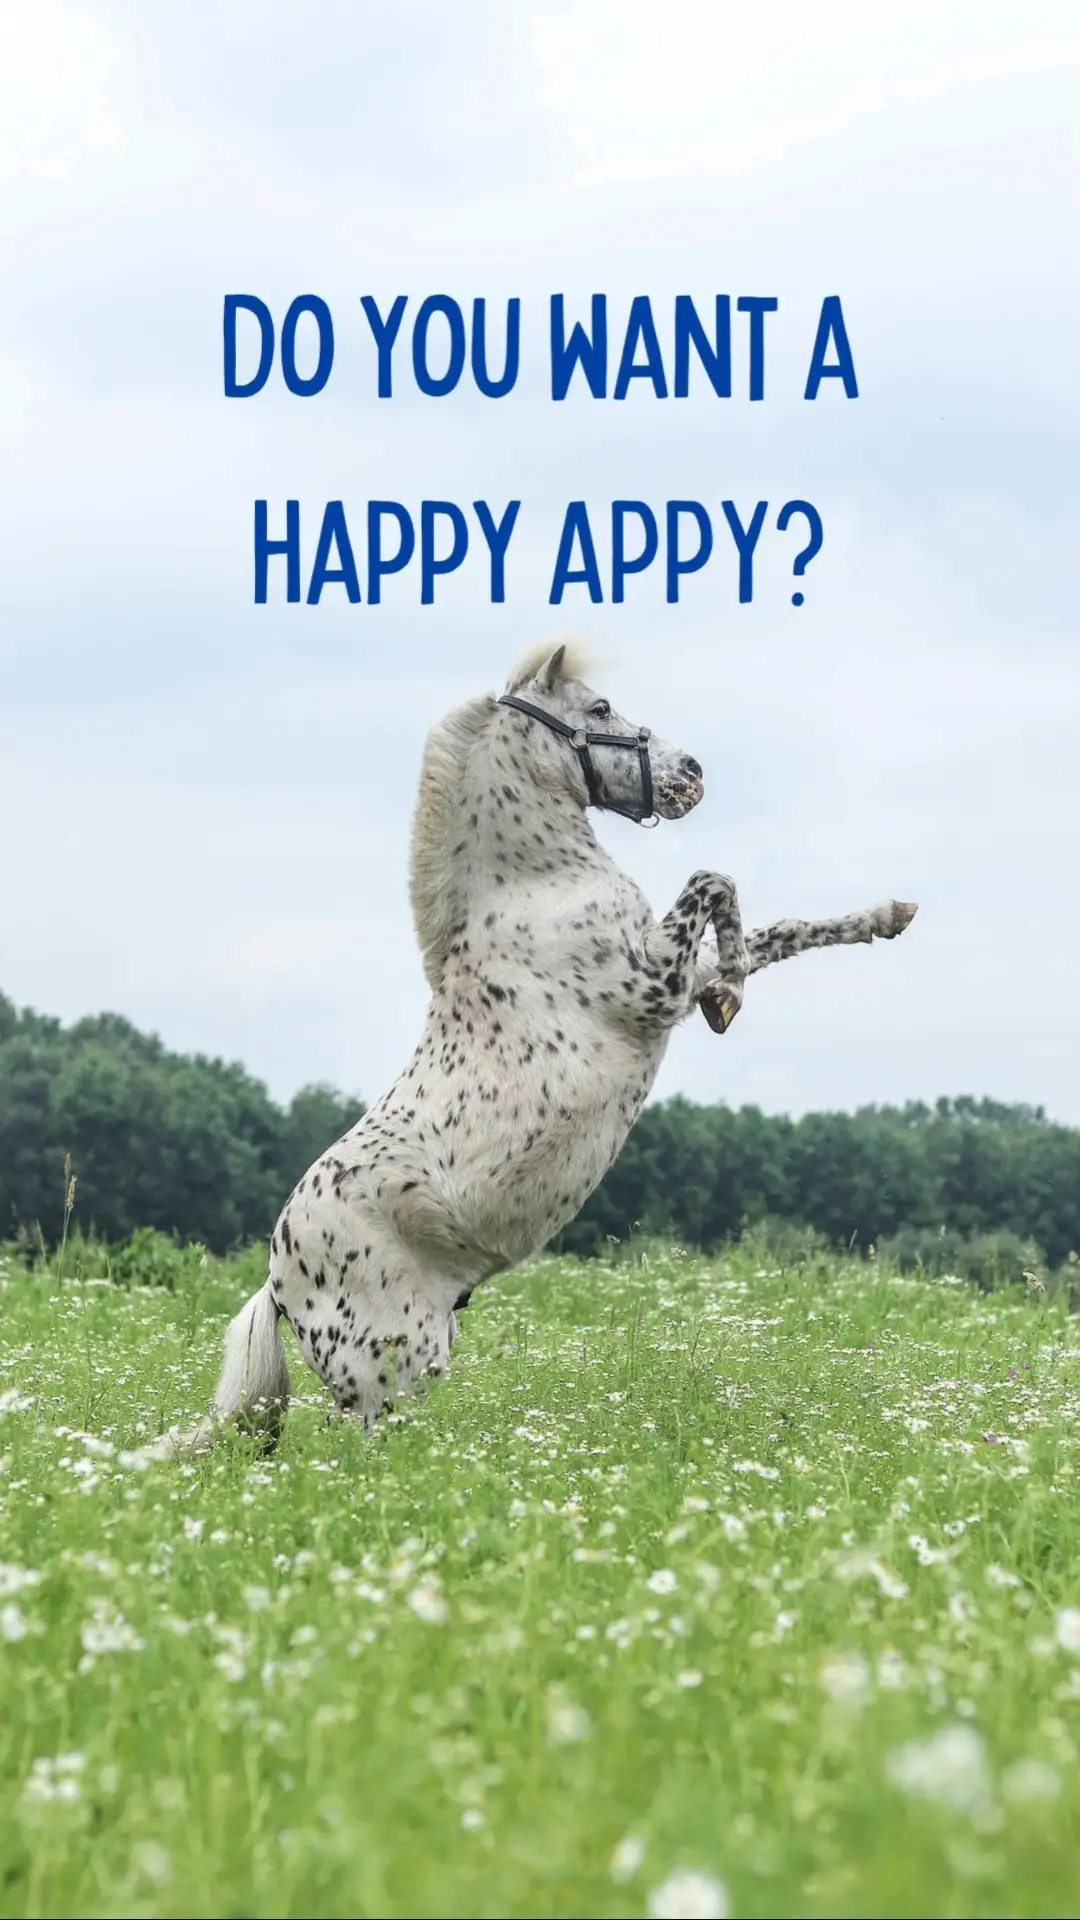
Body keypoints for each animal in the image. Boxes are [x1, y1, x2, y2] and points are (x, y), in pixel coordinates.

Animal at [168, 641, 916, 1454]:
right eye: (599, 708)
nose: (693, 773)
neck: (536, 889)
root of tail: (276, 1281)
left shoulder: (672, 981)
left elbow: (776, 927)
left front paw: (881, 918)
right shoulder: (652, 986)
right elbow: (713, 881)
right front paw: (735, 991)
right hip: (391, 1370)